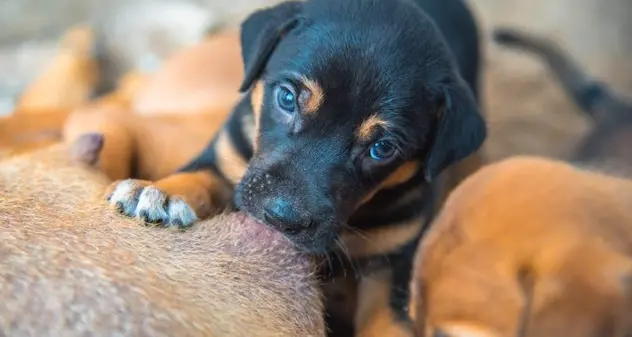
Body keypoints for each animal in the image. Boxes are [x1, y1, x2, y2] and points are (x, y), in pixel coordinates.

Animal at [107, 0, 484, 334]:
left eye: (383, 149)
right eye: (287, 98)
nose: (281, 218)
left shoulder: (392, 259)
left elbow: (390, 321)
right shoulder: (227, 156)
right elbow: (198, 176)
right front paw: (157, 192)